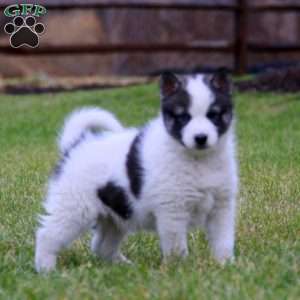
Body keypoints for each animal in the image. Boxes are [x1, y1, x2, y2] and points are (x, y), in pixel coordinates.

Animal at [35, 69, 238, 272]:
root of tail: (76, 144)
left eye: (213, 115)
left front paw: (225, 264)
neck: (198, 160)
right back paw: (46, 269)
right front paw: (179, 269)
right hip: (74, 207)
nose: (201, 138)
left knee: (102, 245)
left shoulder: (222, 206)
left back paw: (123, 265)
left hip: (115, 214)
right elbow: (176, 246)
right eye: (184, 117)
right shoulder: (172, 210)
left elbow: (223, 240)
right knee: (47, 235)